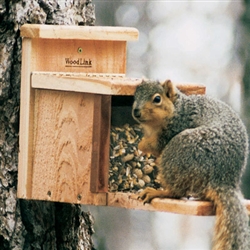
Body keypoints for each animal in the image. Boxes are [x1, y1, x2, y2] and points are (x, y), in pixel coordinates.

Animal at [132, 79, 249, 250]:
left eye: (157, 99)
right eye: (135, 96)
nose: (136, 112)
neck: (178, 108)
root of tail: (223, 178)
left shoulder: (174, 128)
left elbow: (155, 145)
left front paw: (141, 145)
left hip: (179, 150)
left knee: (177, 192)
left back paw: (158, 192)